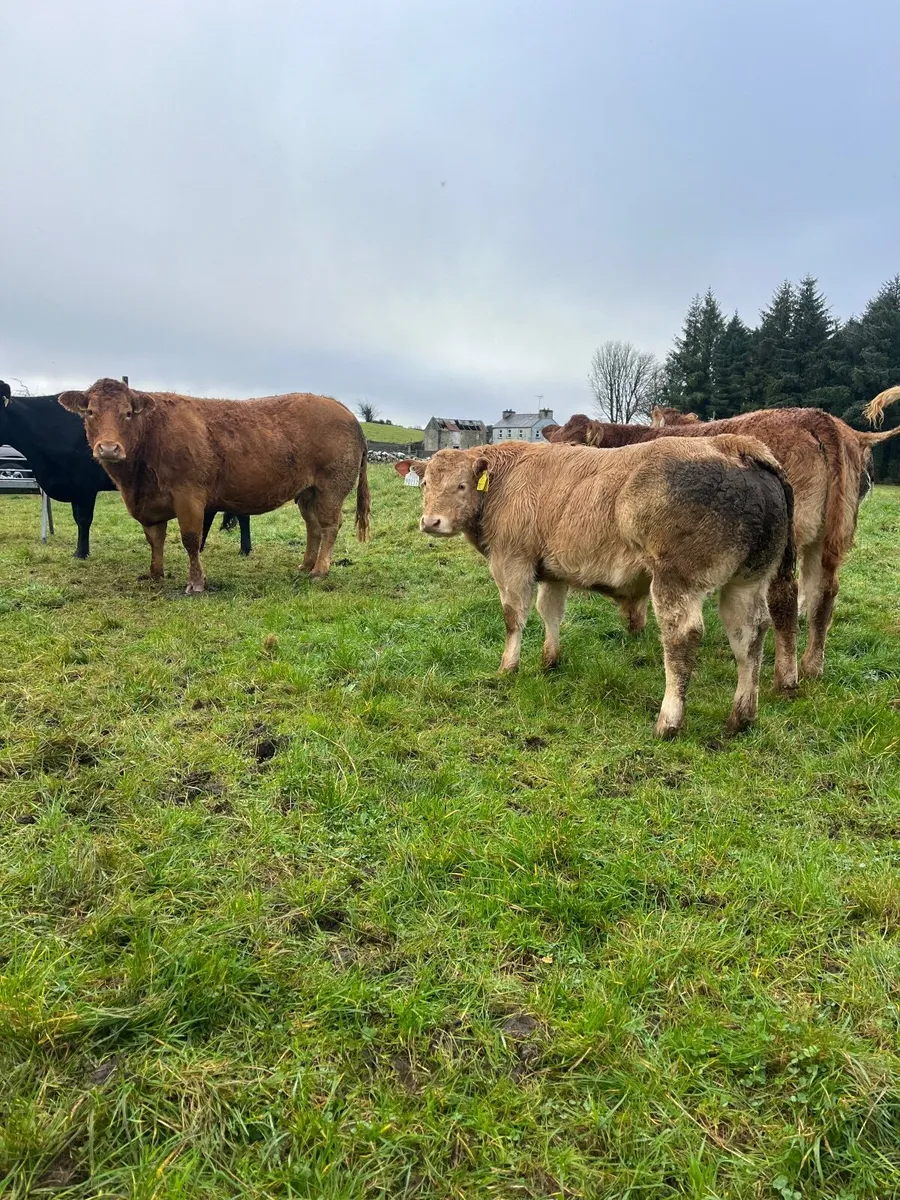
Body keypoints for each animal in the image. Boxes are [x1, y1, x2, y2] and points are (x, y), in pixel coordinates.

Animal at [58, 378, 369, 592]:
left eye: (127, 413)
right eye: (90, 412)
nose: (109, 448)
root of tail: (340, 407)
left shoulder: (189, 496)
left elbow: (191, 540)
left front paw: (196, 583)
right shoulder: (150, 504)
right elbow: (155, 539)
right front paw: (155, 574)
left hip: (331, 487)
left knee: (330, 525)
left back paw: (320, 570)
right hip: (307, 492)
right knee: (313, 527)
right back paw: (305, 565)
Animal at [397, 438, 796, 738]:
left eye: (462, 485)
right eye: (426, 483)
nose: (431, 522)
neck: (504, 481)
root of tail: (734, 445)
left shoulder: (512, 562)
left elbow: (514, 618)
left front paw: (508, 666)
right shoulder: (553, 570)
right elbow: (550, 613)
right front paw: (550, 660)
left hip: (676, 581)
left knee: (682, 637)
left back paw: (668, 722)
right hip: (747, 582)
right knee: (749, 636)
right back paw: (741, 718)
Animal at [544, 388, 900, 681]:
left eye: (576, 446)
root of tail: (818, 417)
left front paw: (634, 623)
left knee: (787, 595)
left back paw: (785, 676)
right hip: (827, 537)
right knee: (823, 594)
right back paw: (812, 666)